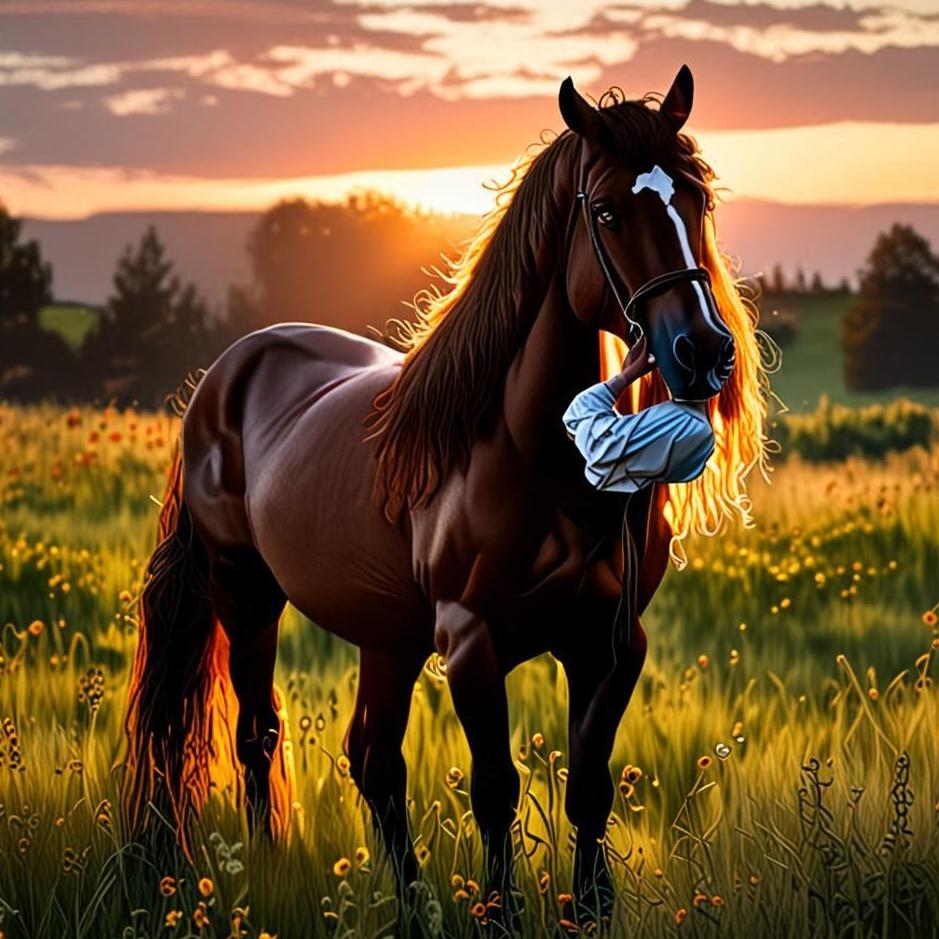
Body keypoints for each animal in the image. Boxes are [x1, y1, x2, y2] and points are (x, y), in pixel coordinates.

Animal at [122, 65, 768, 924]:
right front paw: (501, 914)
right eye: (605, 211)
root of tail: (226, 373)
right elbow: (495, 789)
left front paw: (589, 909)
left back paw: (411, 906)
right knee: (259, 734)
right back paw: (271, 872)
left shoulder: (608, 641)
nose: (703, 351)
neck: (536, 457)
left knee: (373, 760)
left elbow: (590, 787)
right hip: (245, 593)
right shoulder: (469, 642)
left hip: (386, 635)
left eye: (695, 198)